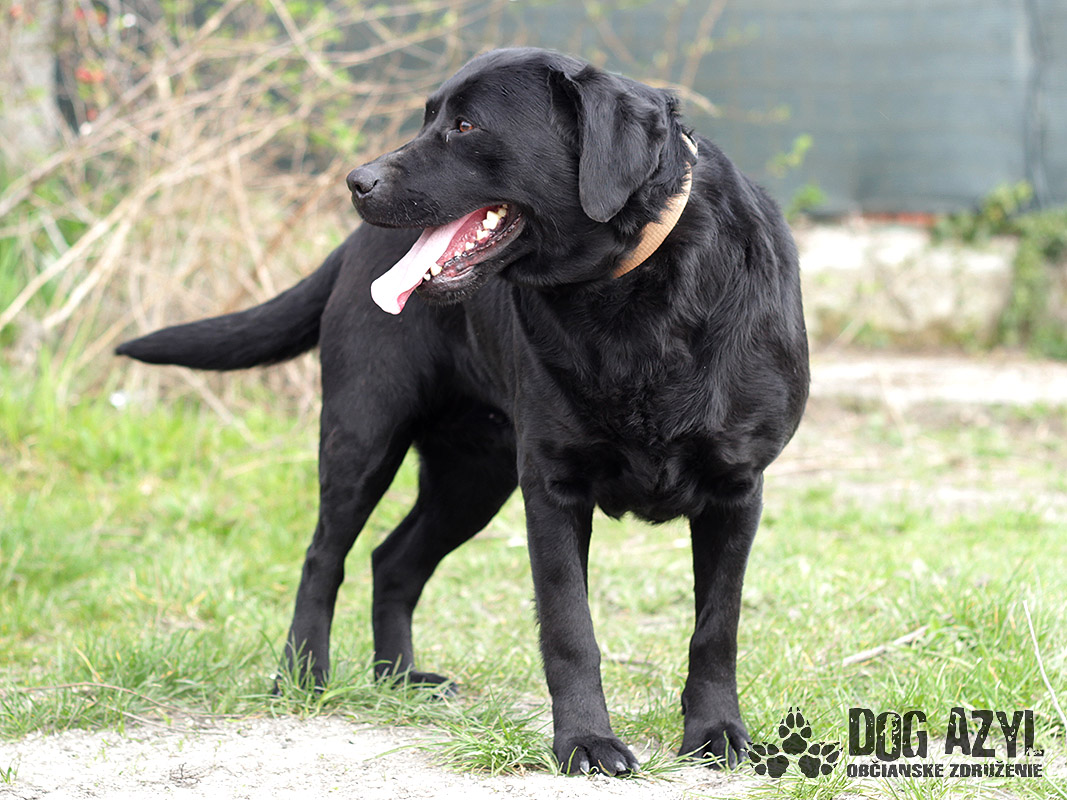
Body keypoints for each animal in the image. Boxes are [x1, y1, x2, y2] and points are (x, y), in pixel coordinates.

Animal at [117, 47, 809, 775]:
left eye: (467, 125)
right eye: (428, 117)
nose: (355, 181)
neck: (628, 293)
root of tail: (348, 249)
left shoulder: (736, 490)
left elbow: (716, 627)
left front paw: (716, 733)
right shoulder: (552, 488)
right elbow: (570, 628)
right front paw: (585, 742)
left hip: (473, 477)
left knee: (391, 561)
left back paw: (399, 679)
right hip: (363, 436)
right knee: (323, 557)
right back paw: (304, 674)